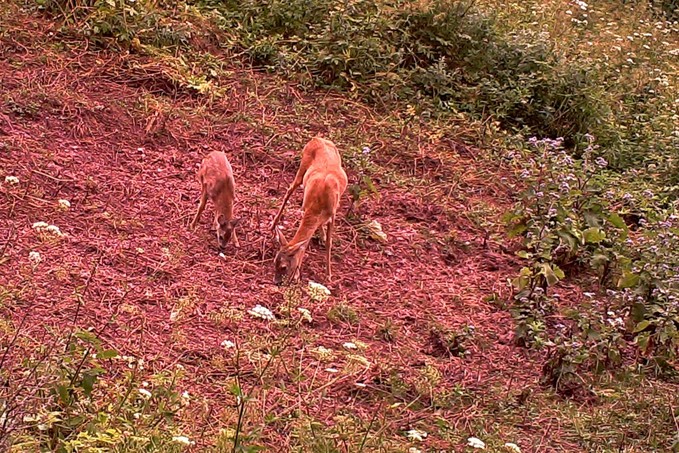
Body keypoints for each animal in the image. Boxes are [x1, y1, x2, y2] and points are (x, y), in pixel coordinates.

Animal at [270, 136, 348, 284]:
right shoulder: (305, 207)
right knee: (289, 190)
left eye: (283, 267)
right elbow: (304, 244)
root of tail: (316, 138)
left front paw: (328, 275)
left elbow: (329, 243)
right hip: (302, 167)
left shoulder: (333, 213)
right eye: (274, 262)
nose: (276, 282)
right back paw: (273, 224)